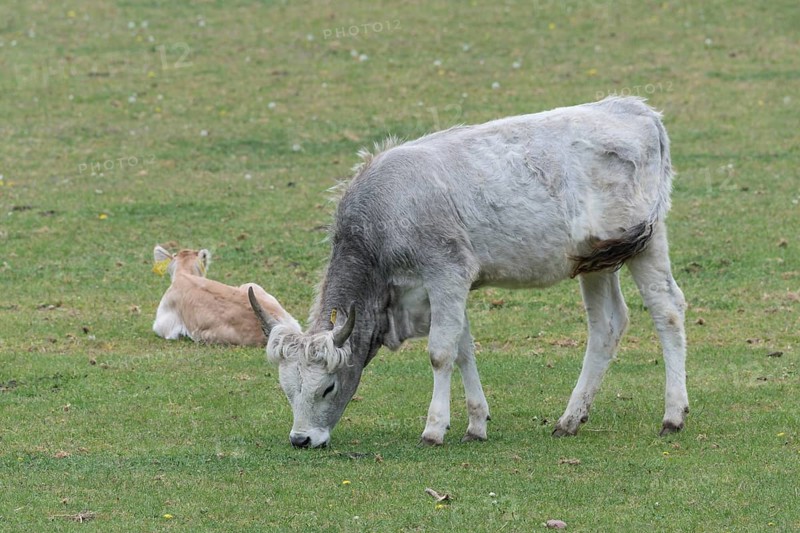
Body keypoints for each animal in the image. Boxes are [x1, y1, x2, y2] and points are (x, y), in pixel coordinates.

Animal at [249, 96, 688, 448]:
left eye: (328, 387)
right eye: (287, 390)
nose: (301, 439)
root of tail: (637, 110)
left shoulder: (447, 273)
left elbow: (440, 353)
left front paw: (434, 429)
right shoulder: (439, 291)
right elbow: (463, 349)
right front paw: (476, 424)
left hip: (646, 242)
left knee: (666, 311)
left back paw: (673, 414)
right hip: (595, 260)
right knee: (607, 325)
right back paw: (570, 419)